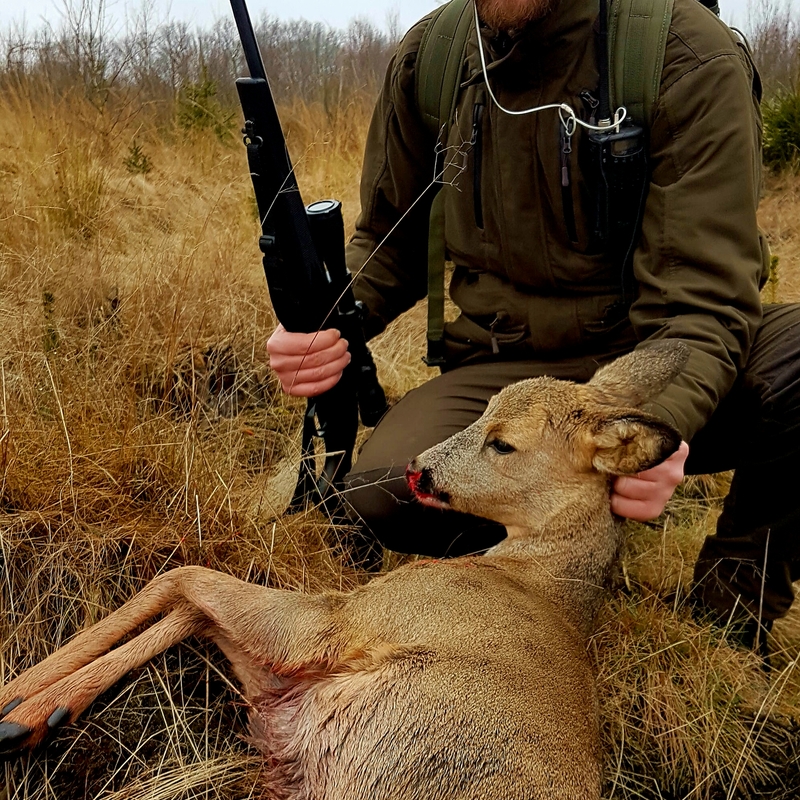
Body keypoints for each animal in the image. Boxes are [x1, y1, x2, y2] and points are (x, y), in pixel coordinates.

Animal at [0, 342, 687, 799]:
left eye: (505, 443)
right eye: (484, 405)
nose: (418, 469)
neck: (537, 576)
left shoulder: (353, 621)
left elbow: (184, 578)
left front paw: (23, 705)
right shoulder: (287, 688)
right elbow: (192, 605)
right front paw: (36, 705)